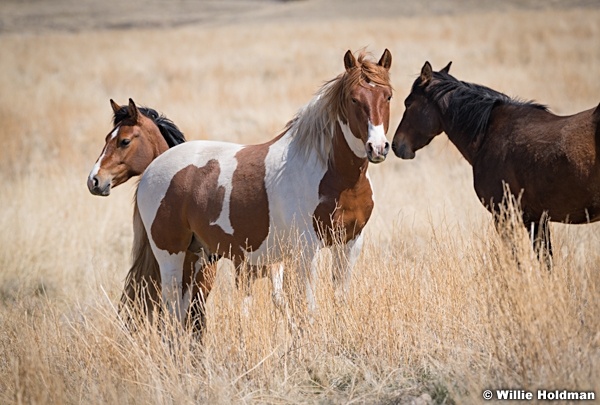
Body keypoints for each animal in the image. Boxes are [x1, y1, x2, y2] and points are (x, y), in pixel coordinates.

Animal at [128, 49, 394, 326]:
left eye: (388, 96)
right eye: (354, 99)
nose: (378, 147)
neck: (335, 178)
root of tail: (150, 170)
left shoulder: (350, 243)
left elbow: (340, 298)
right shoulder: (306, 249)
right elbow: (308, 307)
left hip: (196, 254)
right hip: (171, 253)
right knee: (171, 308)